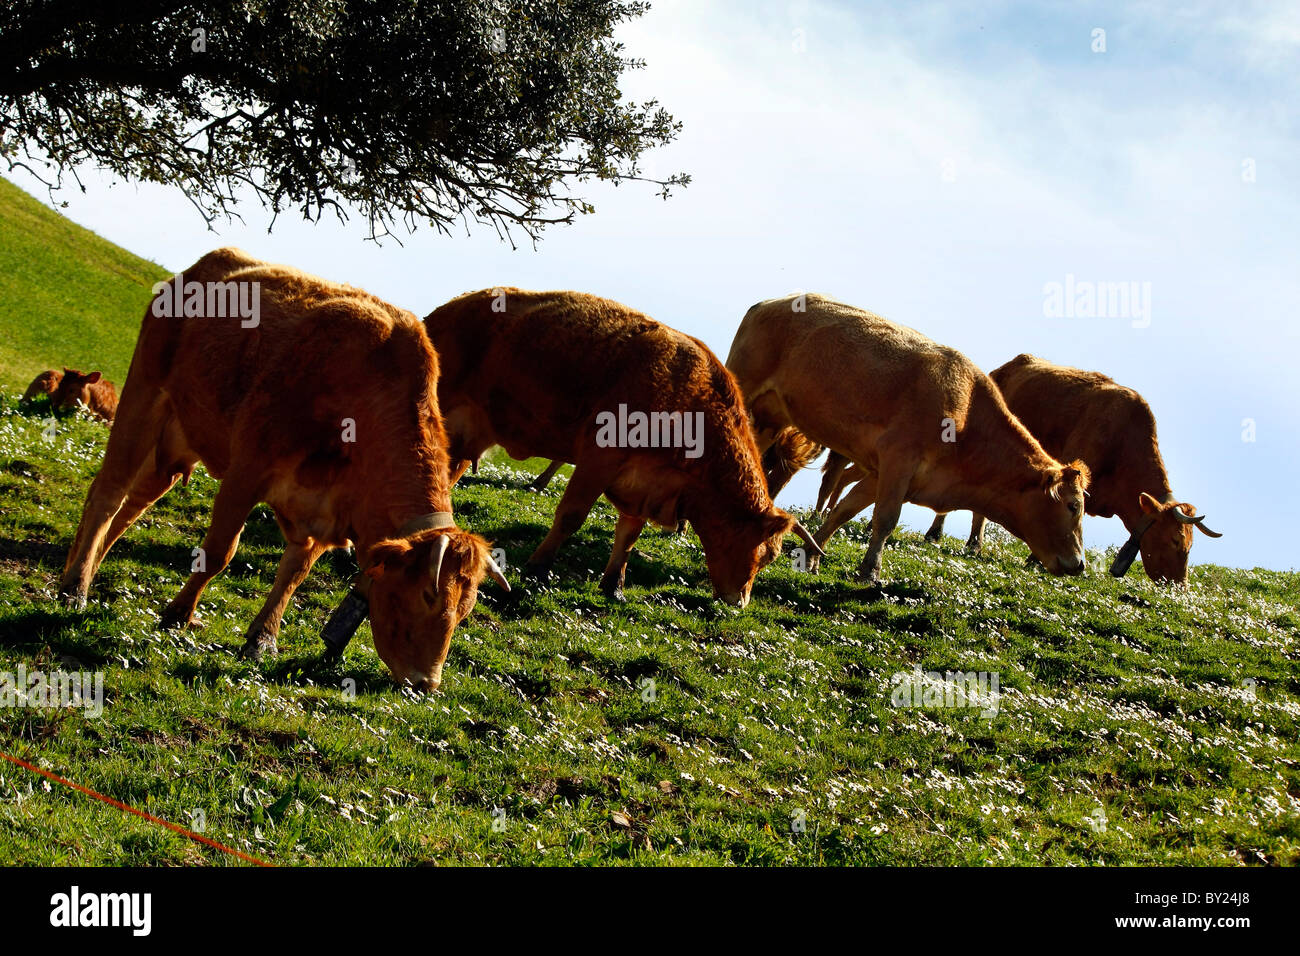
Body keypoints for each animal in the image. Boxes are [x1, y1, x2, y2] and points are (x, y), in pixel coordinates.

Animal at [60, 247, 507, 691]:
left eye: (465, 610)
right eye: (428, 597)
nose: (426, 683)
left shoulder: (330, 512)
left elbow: (294, 574)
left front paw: (262, 639)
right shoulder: (247, 471)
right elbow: (219, 553)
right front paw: (177, 614)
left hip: (175, 441)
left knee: (130, 509)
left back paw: (85, 569)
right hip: (144, 394)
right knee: (108, 495)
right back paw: (75, 586)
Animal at [424, 287, 821, 605]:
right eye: (766, 554)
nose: (740, 601)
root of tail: (446, 310)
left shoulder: (646, 483)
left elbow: (629, 533)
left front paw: (613, 585)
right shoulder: (599, 458)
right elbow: (571, 515)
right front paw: (537, 567)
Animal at [726, 294, 1090, 582]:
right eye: (1073, 506)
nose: (1080, 564)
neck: (966, 419)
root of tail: (770, 303)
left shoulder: (881, 473)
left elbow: (845, 509)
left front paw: (813, 555)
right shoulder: (898, 460)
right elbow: (885, 519)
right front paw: (870, 570)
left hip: (771, 420)